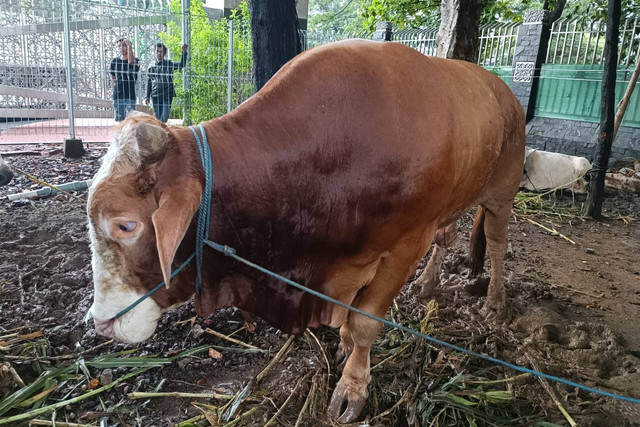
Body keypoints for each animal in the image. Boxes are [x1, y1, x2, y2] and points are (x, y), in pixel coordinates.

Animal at [86, 39, 524, 422]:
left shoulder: (406, 244)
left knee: (497, 243)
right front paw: (344, 345)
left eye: (126, 225)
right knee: (447, 238)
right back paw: (430, 281)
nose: (100, 323)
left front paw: (352, 387)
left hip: (503, 190)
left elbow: (365, 322)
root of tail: (503, 90)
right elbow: (350, 318)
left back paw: (495, 301)